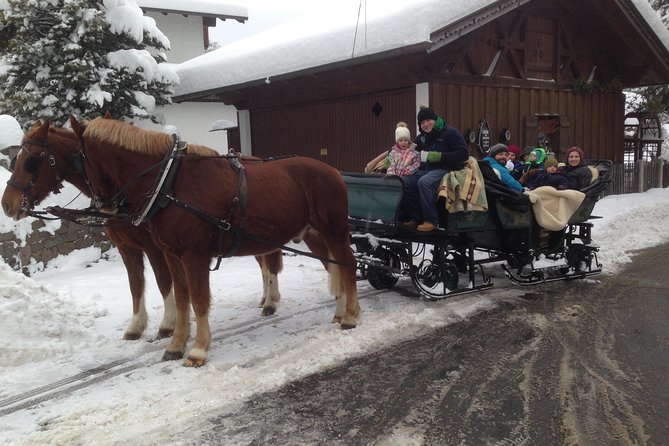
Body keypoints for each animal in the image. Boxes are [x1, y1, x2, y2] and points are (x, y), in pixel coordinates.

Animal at [5, 116, 360, 368]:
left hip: (334, 231)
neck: (168, 184)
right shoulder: (169, 253)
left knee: (348, 265)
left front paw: (197, 348)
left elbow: (196, 298)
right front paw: (175, 342)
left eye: (32, 159)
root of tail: (331, 169)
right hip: (313, 235)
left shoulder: (191, 255)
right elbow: (175, 293)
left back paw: (351, 316)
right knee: (332, 268)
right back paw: (336, 311)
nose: (7, 205)